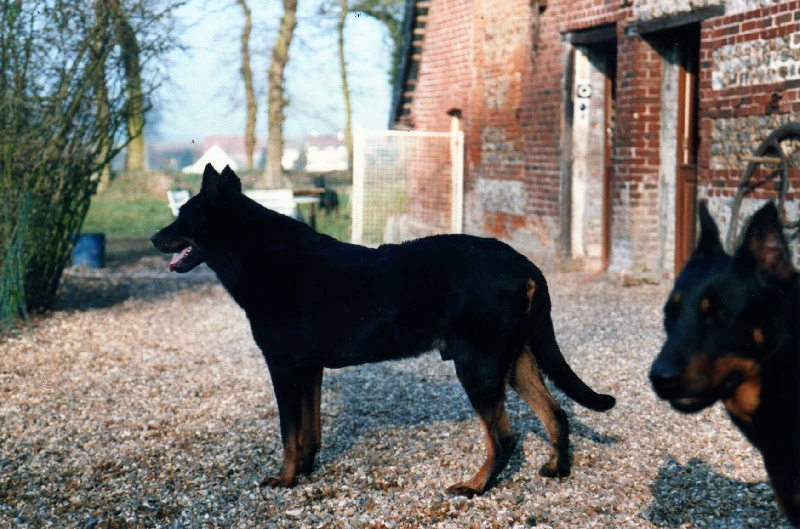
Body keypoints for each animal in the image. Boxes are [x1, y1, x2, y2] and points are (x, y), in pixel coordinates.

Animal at [153, 164, 616, 496]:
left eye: (182, 217)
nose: (155, 237)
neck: (257, 252)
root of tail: (525, 265)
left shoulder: (282, 367)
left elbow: (288, 433)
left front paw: (284, 479)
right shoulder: (309, 369)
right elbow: (309, 431)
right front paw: (306, 471)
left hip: (478, 366)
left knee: (503, 438)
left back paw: (475, 486)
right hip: (514, 360)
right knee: (556, 416)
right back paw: (557, 469)